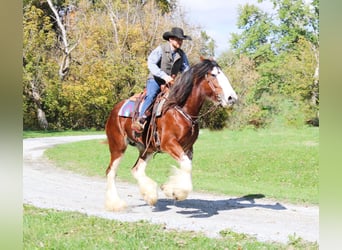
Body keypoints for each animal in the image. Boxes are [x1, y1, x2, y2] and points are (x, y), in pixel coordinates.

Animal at [105, 58, 238, 211]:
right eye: (213, 75)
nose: (232, 97)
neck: (180, 109)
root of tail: (115, 110)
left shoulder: (188, 148)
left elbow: (187, 166)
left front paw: (173, 190)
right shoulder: (169, 143)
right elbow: (186, 166)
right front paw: (176, 192)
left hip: (147, 148)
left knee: (137, 169)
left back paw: (150, 196)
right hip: (118, 146)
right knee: (111, 172)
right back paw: (116, 204)